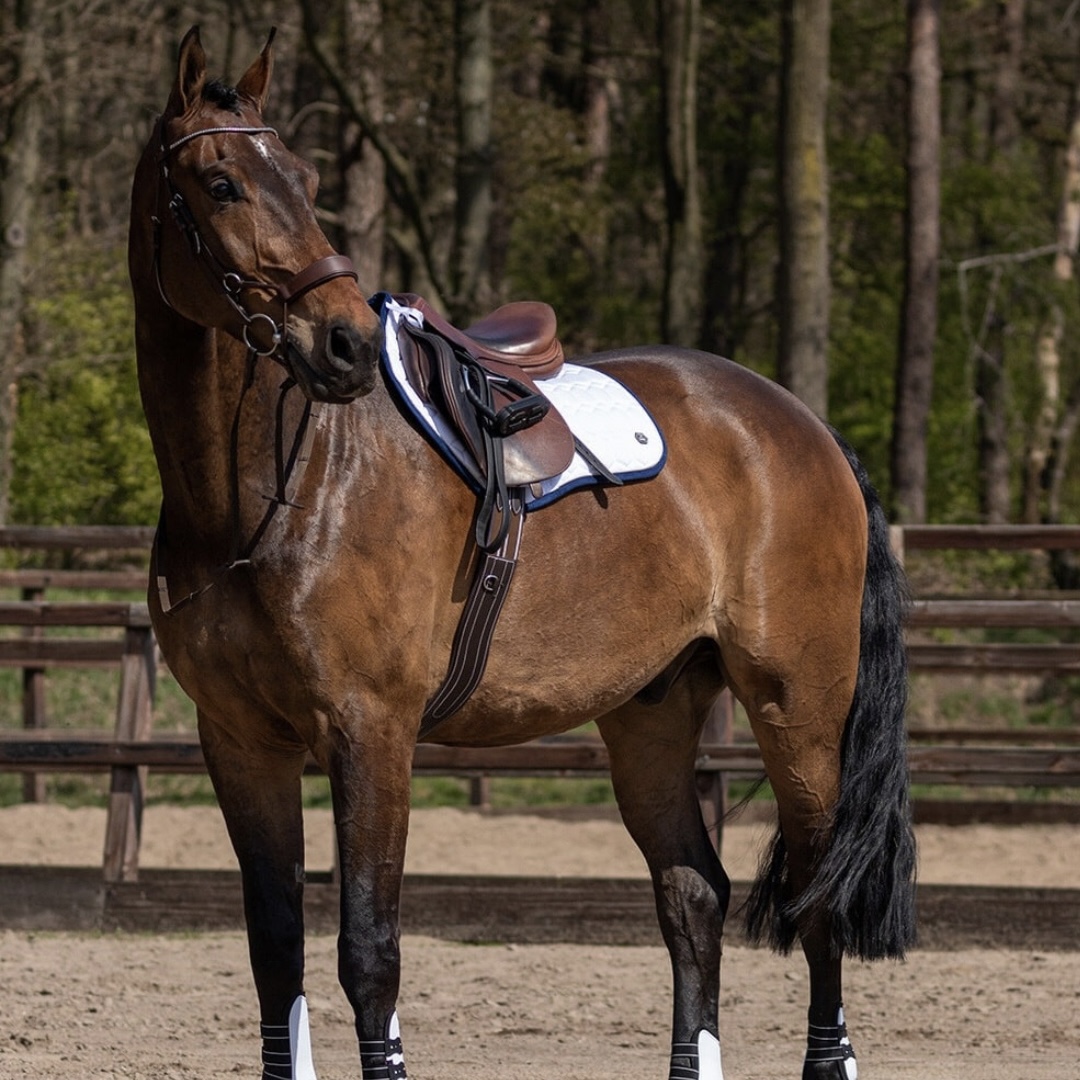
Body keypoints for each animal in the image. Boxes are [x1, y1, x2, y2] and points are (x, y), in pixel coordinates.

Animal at [128, 26, 915, 1080]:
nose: (341, 342)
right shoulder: (240, 740)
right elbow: (275, 949)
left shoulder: (369, 731)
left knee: (820, 899)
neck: (259, 497)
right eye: (220, 184)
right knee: (693, 895)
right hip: (652, 712)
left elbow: (368, 951)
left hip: (800, 705)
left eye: (302, 177)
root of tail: (806, 427)